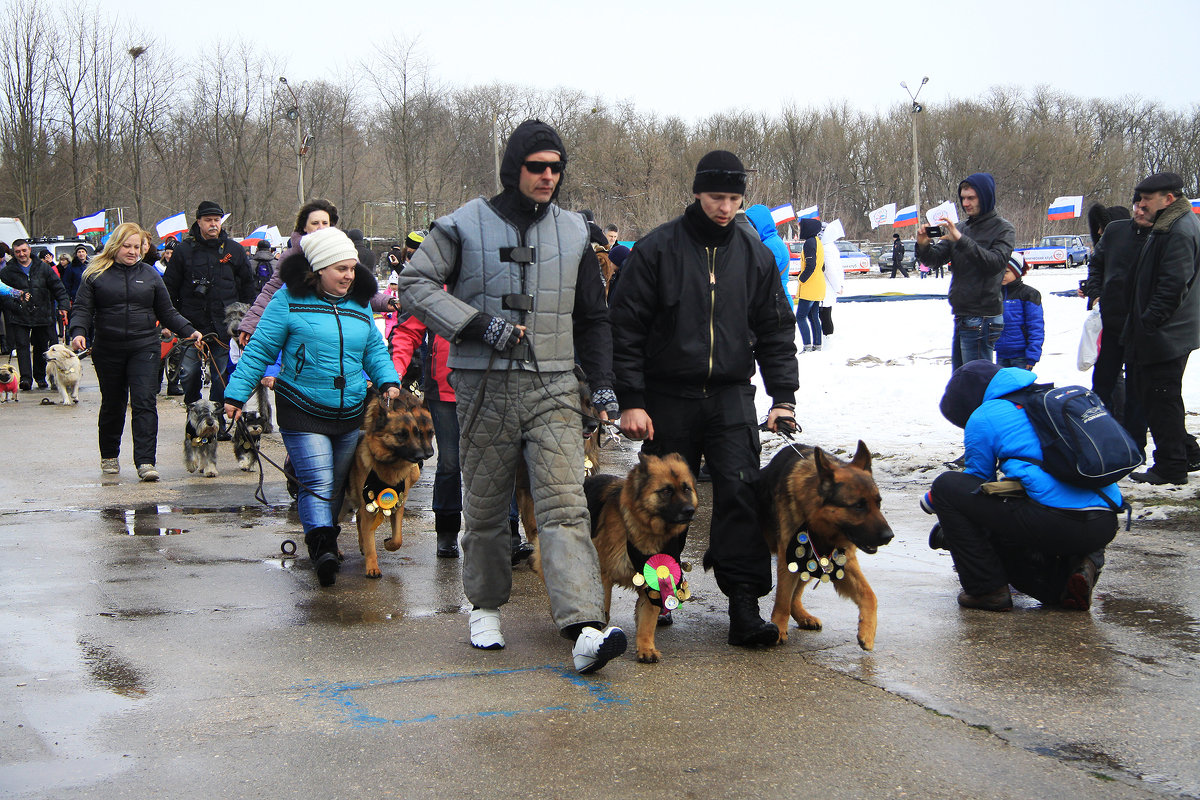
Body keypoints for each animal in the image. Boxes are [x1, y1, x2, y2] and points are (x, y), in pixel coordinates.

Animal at [348, 391, 436, 578]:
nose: (426, 454)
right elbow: (371, 538)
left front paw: (389, 543)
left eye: (431, 433)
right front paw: (372, 565)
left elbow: (397, 538)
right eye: (417, 434)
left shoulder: (398, 500)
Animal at [532, 453, 696, 666]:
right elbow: (603, 608)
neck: (639, 528)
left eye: (686, 488)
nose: (690, 510)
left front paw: (646, 648)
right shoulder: (603, 575)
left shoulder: (652, 582)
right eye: (667, 490)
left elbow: (647, 621)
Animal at [758, 441, 892, 652]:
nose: (889, 536)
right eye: (859, 506)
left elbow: (870, 595)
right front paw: (778, 627)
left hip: (814, 562)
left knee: (796, 595)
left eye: (878, 503)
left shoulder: (843, 561)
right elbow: (782, 599)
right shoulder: (789, 558)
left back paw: (803, 616)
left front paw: (867, 632)